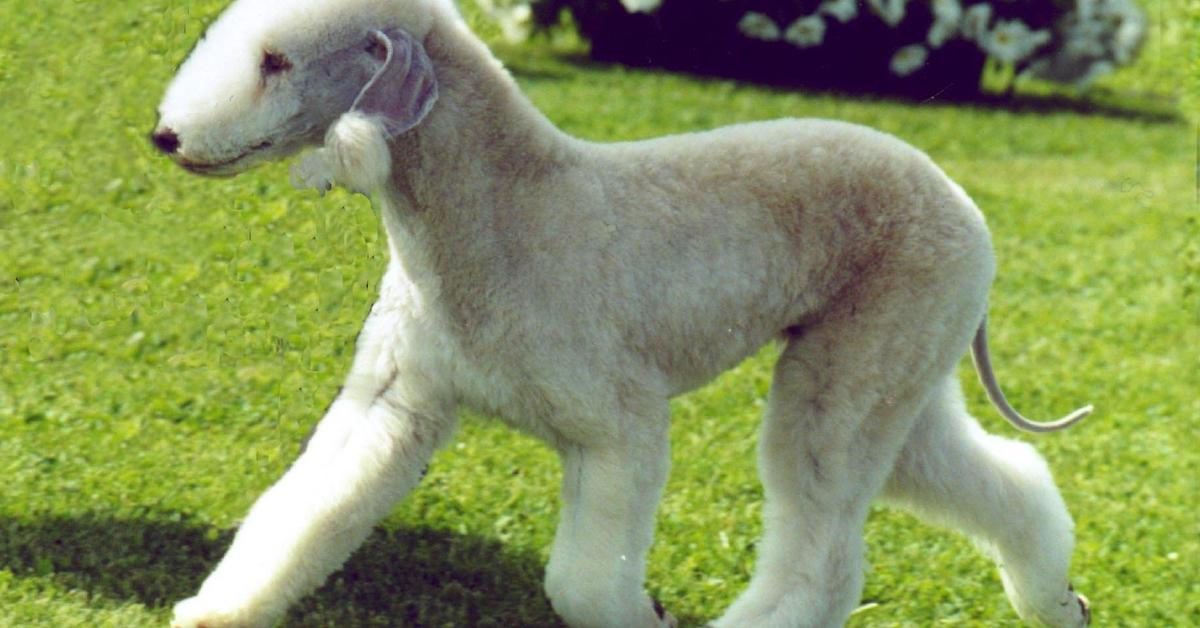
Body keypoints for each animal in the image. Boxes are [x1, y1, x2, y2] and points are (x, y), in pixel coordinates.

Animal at [150, 0, 1089, 624]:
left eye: (276, 61)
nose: (166, 137)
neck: (497, 212)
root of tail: (962, 205)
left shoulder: (617, 426)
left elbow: (586, 583)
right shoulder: (394, 397)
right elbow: (303, 508)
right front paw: (215, 609)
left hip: (856, 368)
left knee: (821, 552)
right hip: (891, 363)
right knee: (1001, 475)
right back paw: (1056, 600)